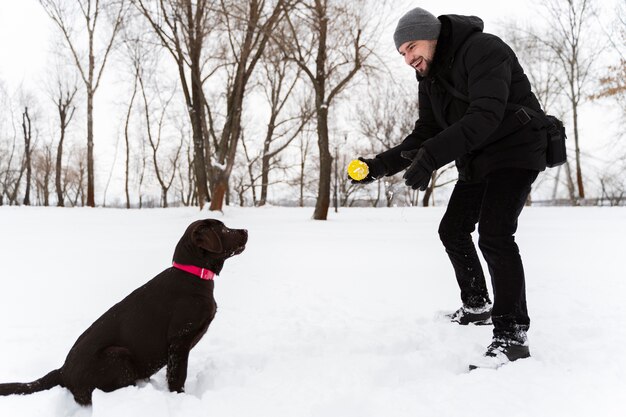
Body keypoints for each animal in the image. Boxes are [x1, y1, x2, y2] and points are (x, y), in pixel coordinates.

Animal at [0, 218, 247, 404]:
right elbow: (177, 377)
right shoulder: (179, 341)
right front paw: (180, 399)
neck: (193, 275)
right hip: (118, 356)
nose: (245, 230)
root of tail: (62, 371)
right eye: (223, 229)